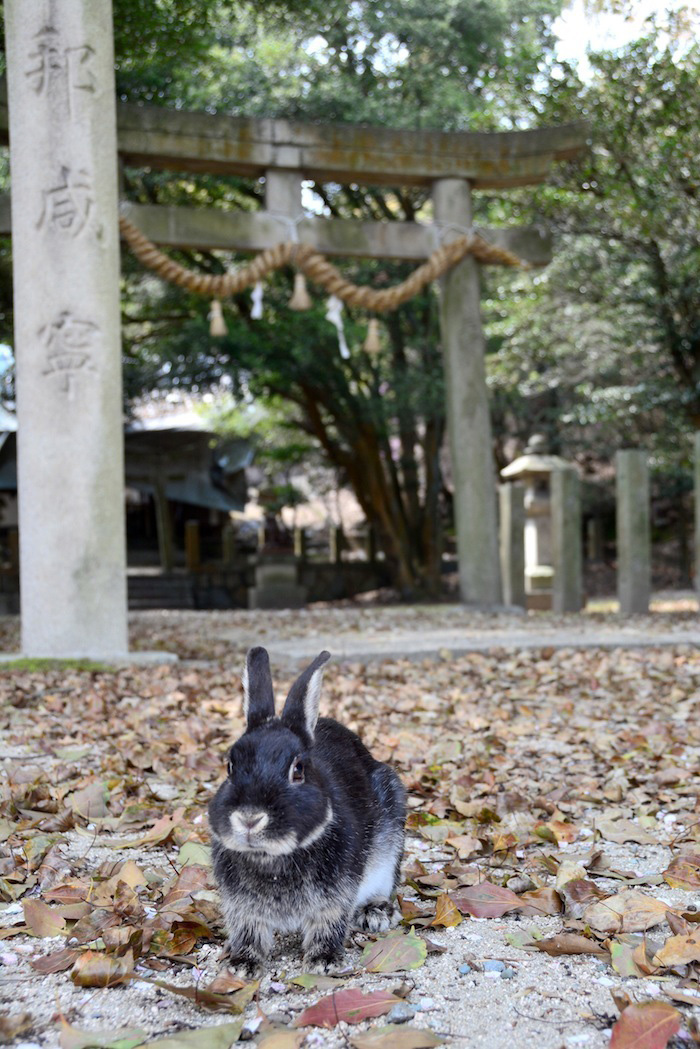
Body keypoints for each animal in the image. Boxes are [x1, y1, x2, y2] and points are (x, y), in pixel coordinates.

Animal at [207, 646, 405, 973]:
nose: (249, 819)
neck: (273, 858)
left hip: (391, 835)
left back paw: (375, 913)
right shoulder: (240, 904)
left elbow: (330, 922)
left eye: (298, 770)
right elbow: (247, 928)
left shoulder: (337, 893)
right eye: (230, 766)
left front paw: (323, 961)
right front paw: (241, 963)